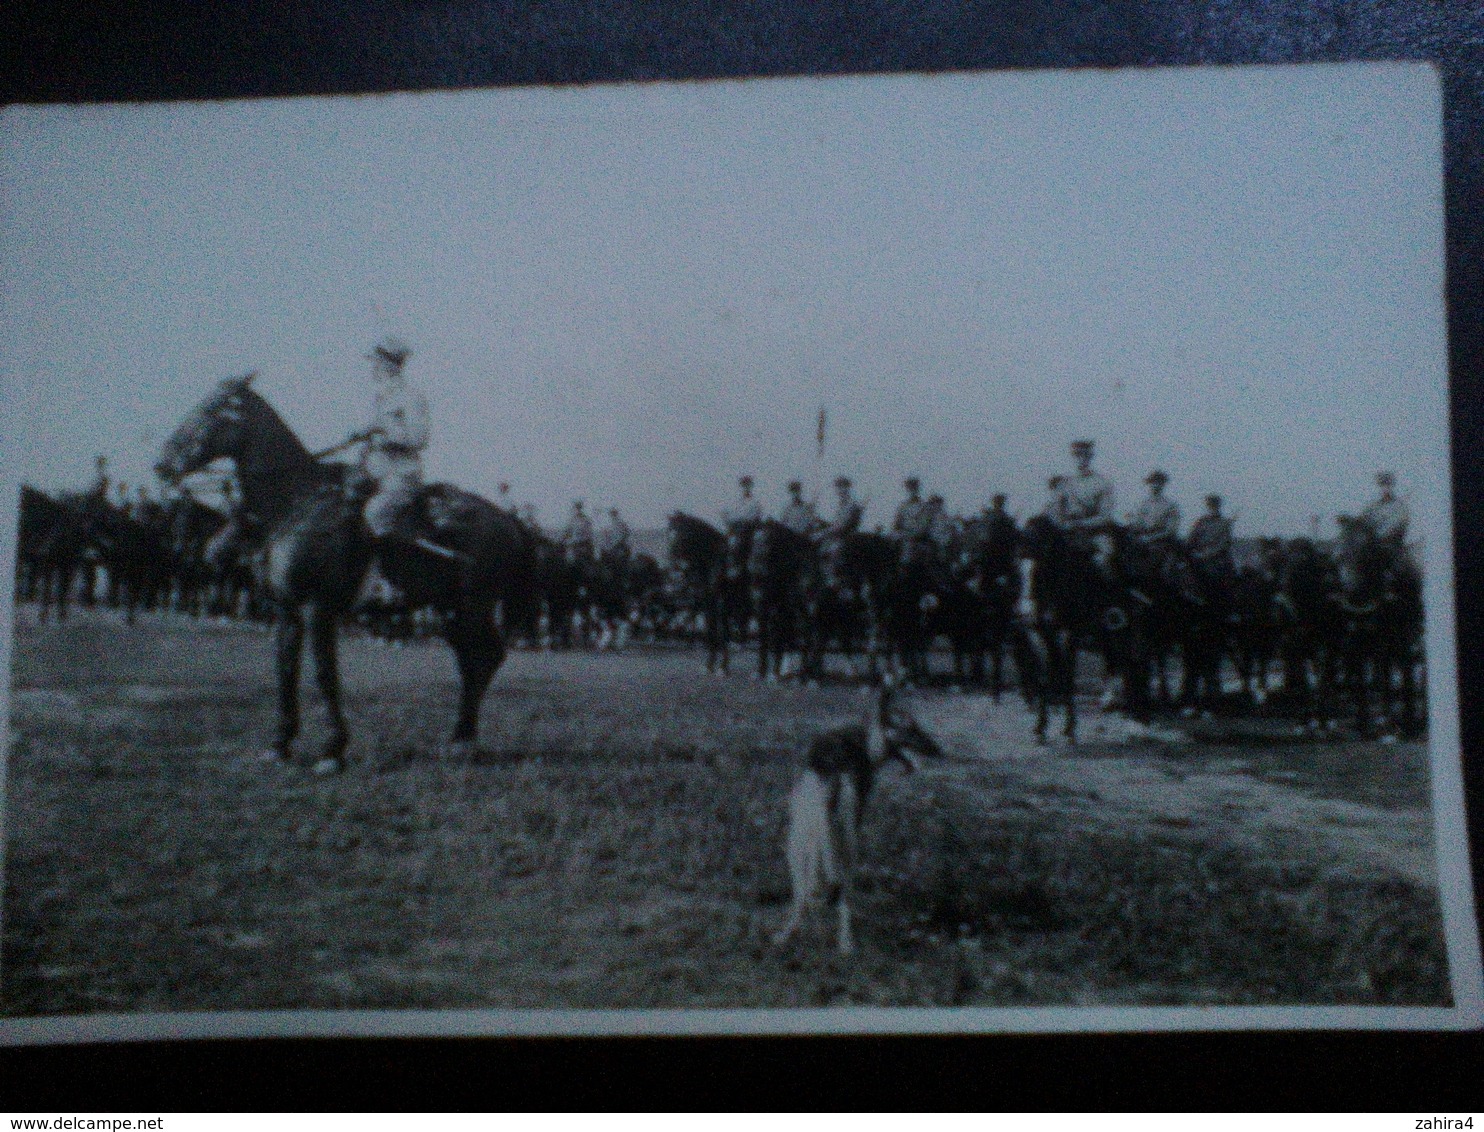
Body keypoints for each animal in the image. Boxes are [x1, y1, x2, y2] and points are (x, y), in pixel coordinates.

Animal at [156, 376, 537, 777]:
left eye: (212, 409)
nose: (162, 464)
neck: (297, 504)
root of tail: (509, 520)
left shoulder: (317, 609)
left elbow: (325, 675)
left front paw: (331, 750)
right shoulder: (287, 611)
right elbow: (285, 672)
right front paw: (280, 744)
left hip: (473, 606)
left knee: (485, 658)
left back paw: (463, 741)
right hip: (452, 611)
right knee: (472, 661)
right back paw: (459, 739)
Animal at [771, 682, 943, 955]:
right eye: (912, 730)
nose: (939, 751)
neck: (867, 740)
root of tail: (832, 767)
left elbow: (811, 883)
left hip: (799, 836)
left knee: (805, 890)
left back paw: (790, 933)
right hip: (844, 837)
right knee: (841, 890)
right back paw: (845, 942)